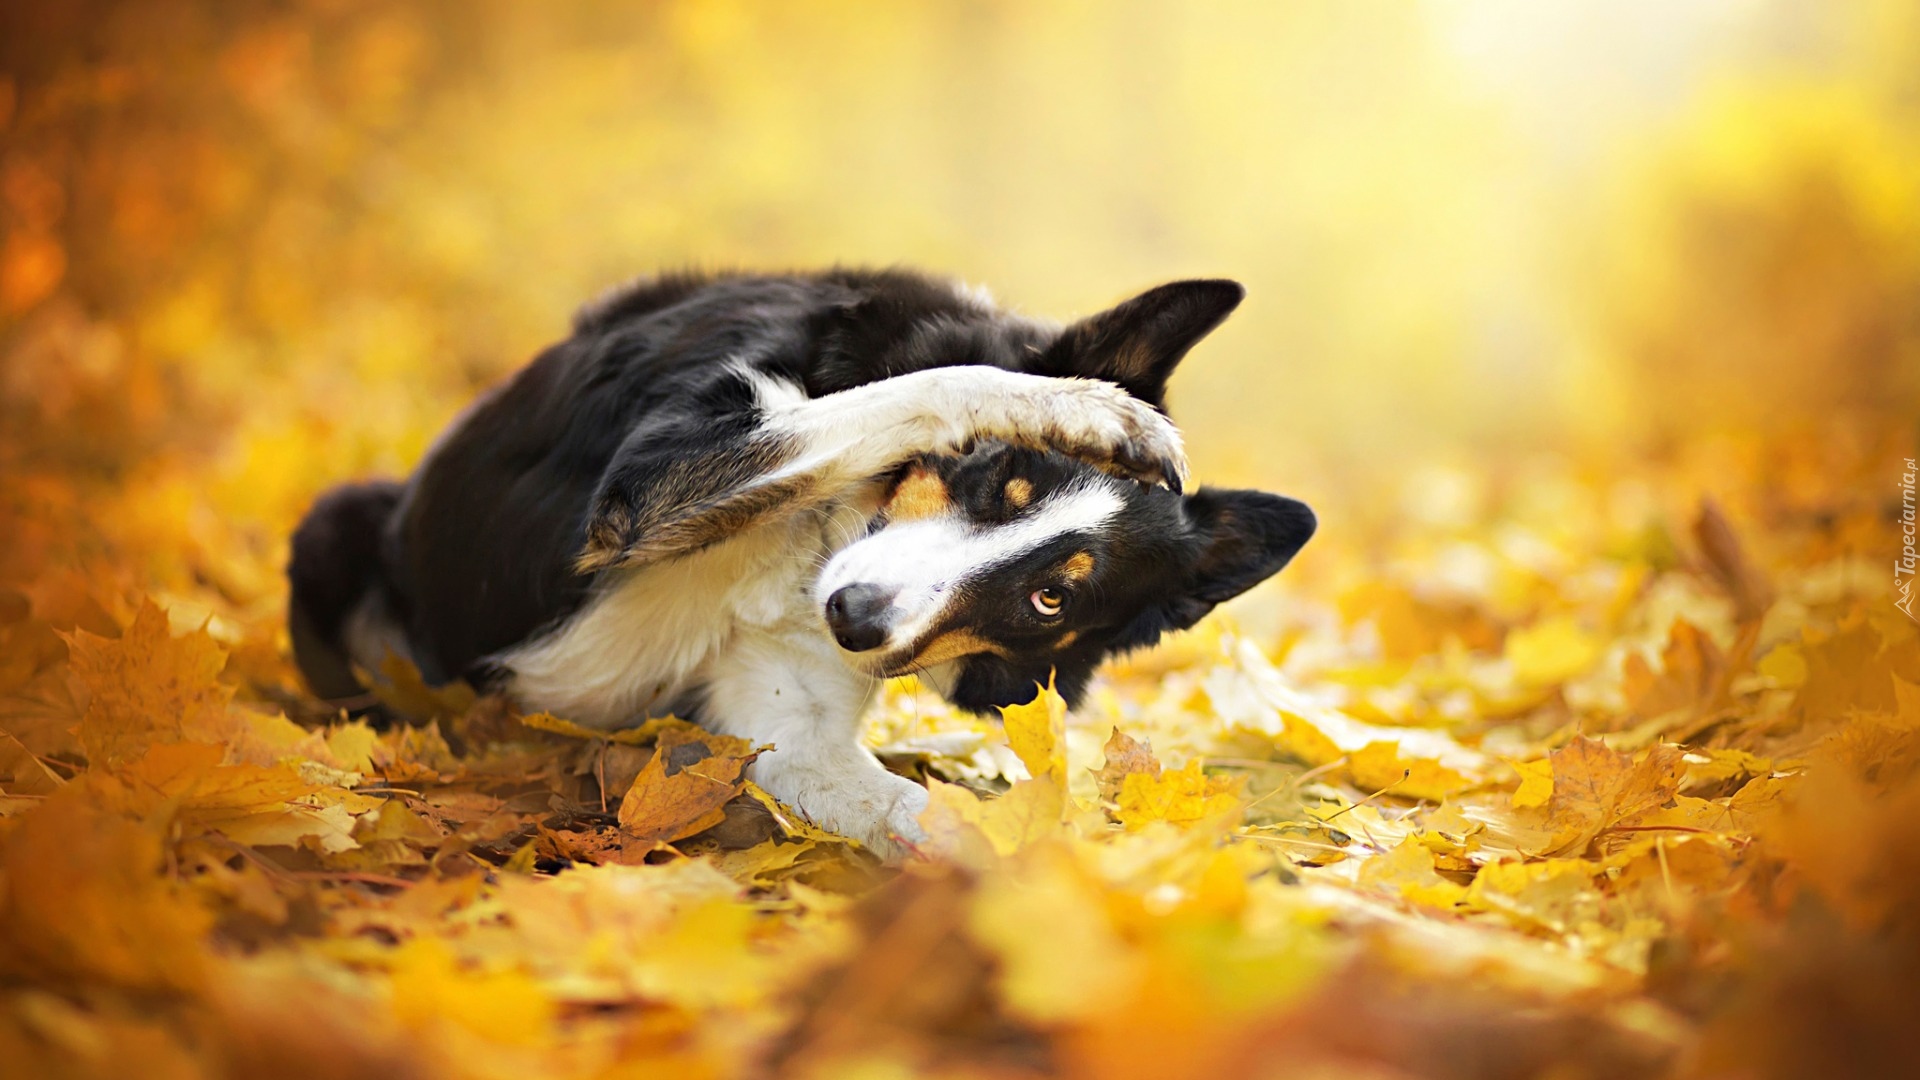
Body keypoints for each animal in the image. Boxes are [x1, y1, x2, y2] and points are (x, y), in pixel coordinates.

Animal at [288, 267, 1320, 849]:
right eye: (999, 479)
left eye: (1050, 603)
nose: (853, 620)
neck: (813, 548)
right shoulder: (643, 488)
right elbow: (930, 384)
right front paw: (1089, 407)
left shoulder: (790, 731)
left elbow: (931, 818)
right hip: (337, 524)